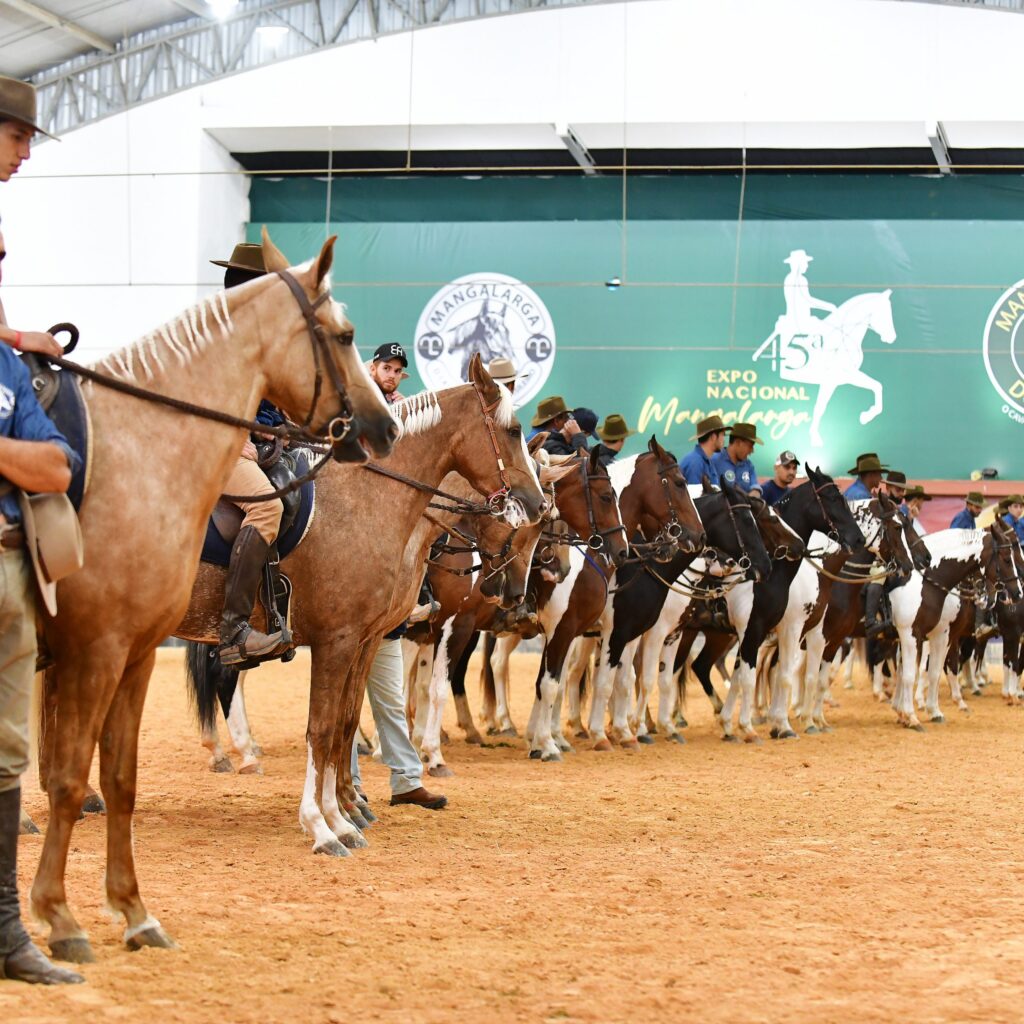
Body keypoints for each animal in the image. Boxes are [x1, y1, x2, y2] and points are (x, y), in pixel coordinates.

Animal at [30, 231, 398, 964]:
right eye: (344, 335)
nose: (382, 430)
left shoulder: (134, 653)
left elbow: (119, 778)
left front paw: (132, 913)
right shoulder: (99, 649)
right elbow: (327, 726)